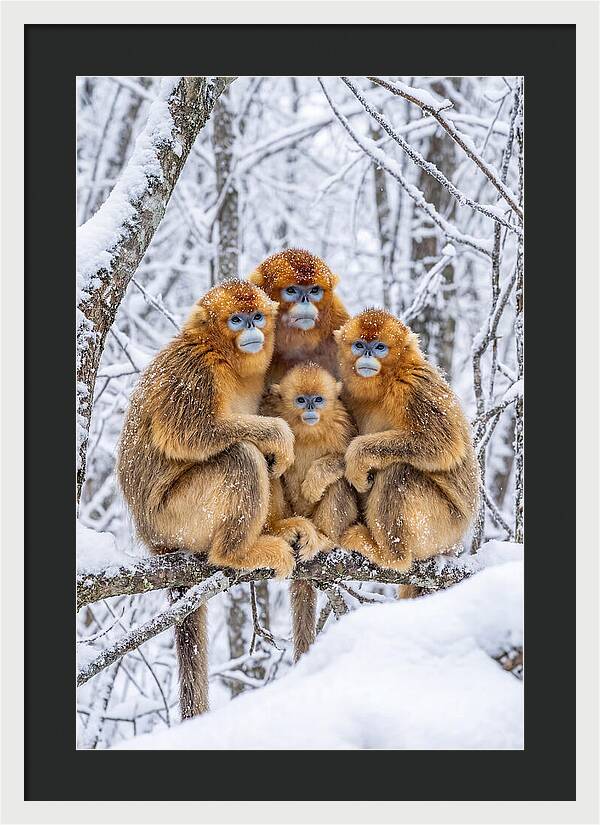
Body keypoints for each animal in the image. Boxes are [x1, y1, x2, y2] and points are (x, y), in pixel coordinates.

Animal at [117, 279, 298, 719]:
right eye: (236, 319)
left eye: (257, 316)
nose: (251, 328)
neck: (226, 359)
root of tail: (153, 539)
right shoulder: (195, 370)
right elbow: (190, 434)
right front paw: (278, 433)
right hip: (177, 518)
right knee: (242, 456)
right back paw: (236, 552)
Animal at [265, 363, 359, 661]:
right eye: (300, 400)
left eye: (317, 399)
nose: (309, 408)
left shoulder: (343, 423)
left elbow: (351, 462)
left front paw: (315, 481)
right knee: (269, 469)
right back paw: (280, 529)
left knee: (340, 483)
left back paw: (325, 539)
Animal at [334, 308, 479, 596]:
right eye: (359, 345)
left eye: (379, 347)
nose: (368, 354)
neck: (386, 383)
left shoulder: (414, 385)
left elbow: (444, 444)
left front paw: (357, 456)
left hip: (443, 527)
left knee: (399, 472)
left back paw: (390, 556)